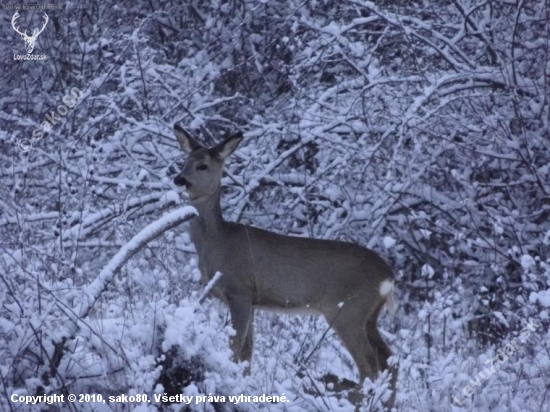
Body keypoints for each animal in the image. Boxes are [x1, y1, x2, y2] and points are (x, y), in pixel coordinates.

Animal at [175, 124, 398, 406]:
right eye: (184, 161)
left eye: (203, 165)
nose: (179, 179)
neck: (217, 242)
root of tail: (388, 276)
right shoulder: (253, 302)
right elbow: (248, 352)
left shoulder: (240, 291)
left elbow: (235, 347)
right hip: (369, 315)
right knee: (390, 360)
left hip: (347, 310)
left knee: (369, 366)